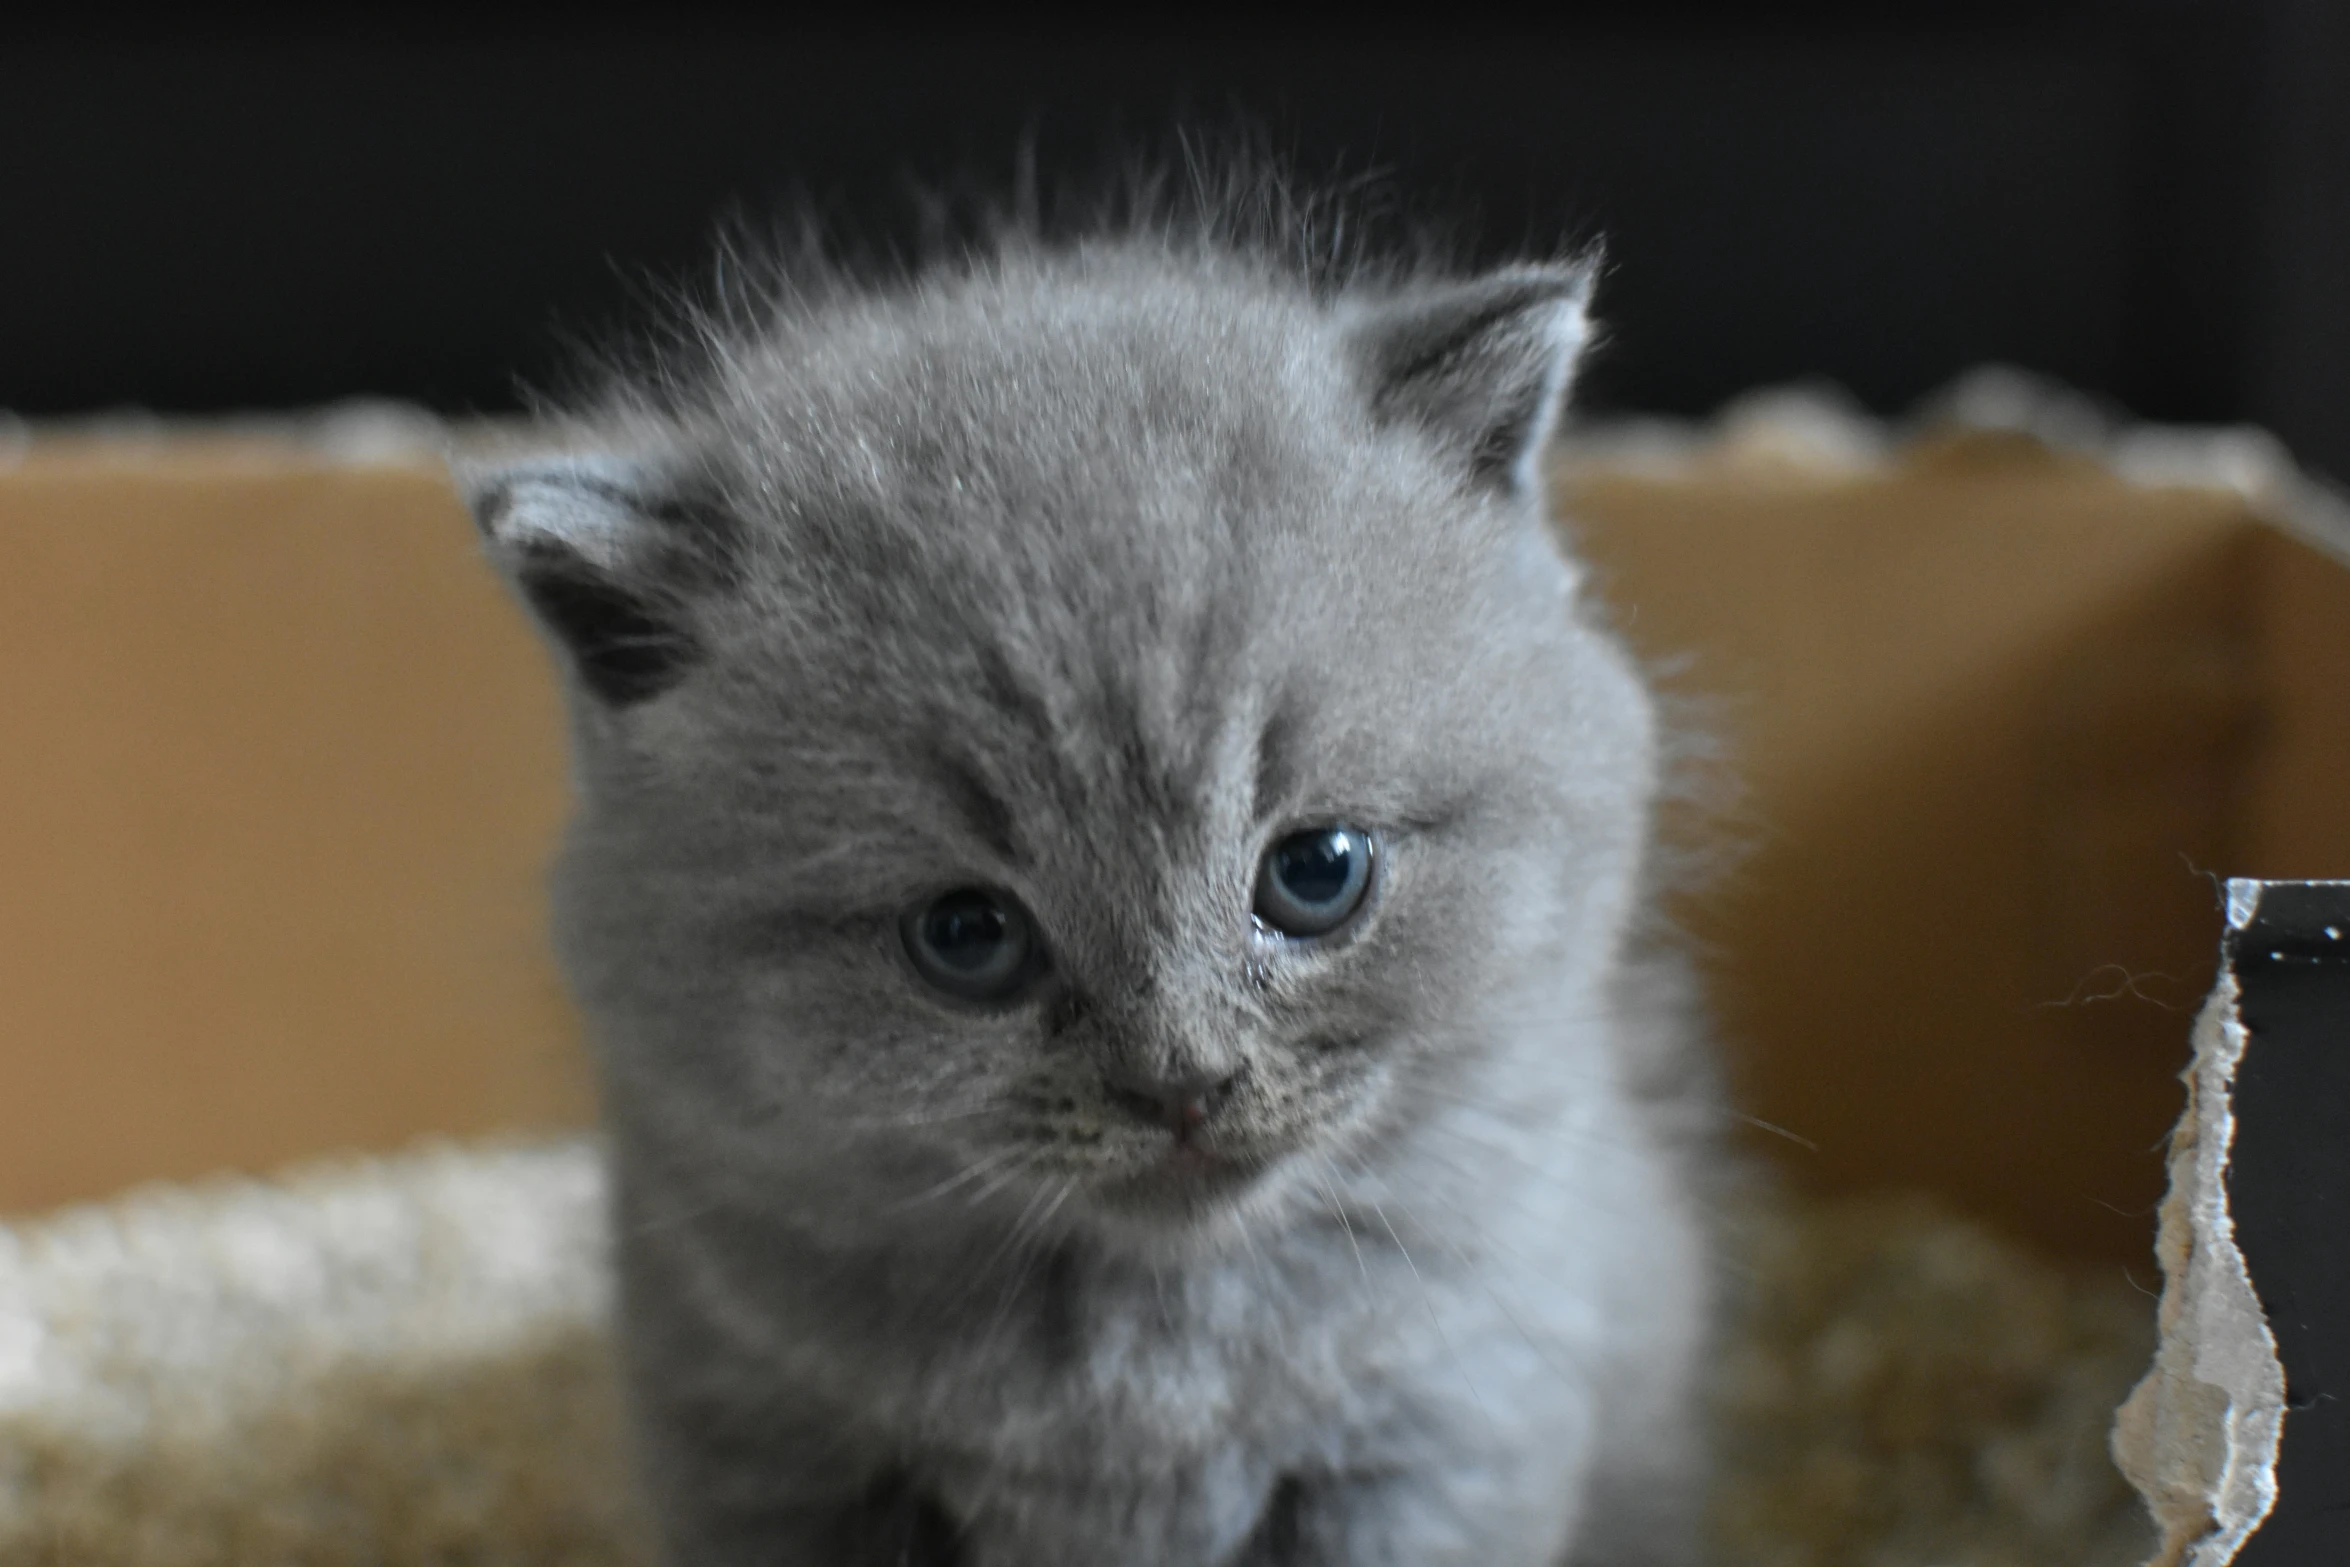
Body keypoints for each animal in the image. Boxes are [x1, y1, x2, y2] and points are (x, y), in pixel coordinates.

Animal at [467, 211, 1720, 1567]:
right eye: (966, 935)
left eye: (1316, 873)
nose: (1184, 1083)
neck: (1145, 1362)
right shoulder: (763, 1444)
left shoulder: (1444, 1424)